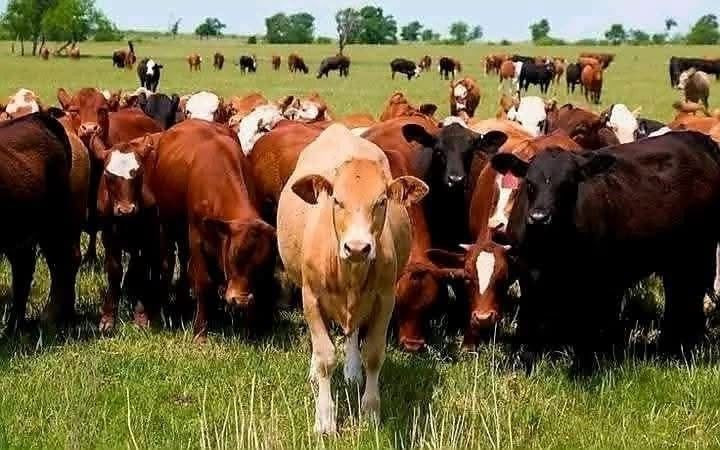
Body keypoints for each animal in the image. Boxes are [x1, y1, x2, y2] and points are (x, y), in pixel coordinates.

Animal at [0, 113, 79, 331]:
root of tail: (37, 117)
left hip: (54, 223)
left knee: (65, 262)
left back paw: (52, 318)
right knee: (24, 269)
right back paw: (16, 325)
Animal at [95, 134, 164, 332]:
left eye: (139, 173)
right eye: (108, 175)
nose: (126, 210)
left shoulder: (146, 237)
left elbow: (140, 269)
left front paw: (141, 316)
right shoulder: (108, 237)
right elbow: (114, 270)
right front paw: (108, 318)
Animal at [152, 120, 277, 341]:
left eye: (262, 264)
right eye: (234, 255)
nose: (241, 300)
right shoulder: (196, 238)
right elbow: (204, 282)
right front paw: (200, 332)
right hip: (167, 224)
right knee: (169, 261)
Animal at [277, 124, 428, 434]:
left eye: (381, 202)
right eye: (337, 200)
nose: (358, 247)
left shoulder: (385, 299)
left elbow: (373, 354)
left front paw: (370, 411)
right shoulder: (310, 297)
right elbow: (325, 357)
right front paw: (325, 418)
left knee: (354, 332)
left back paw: (352, 370)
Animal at [491, 131, 720, 372]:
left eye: (568, 184)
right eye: (529, 183)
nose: (539, 217)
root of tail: (696, 139)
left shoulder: (595, 278)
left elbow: (588, 326)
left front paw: (583, 367)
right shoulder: (528, 273)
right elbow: (528, 319)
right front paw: (523, 362)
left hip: (699, 252)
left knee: (690, 298)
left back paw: (685, 350)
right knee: (678, 297)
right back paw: (670, 349)